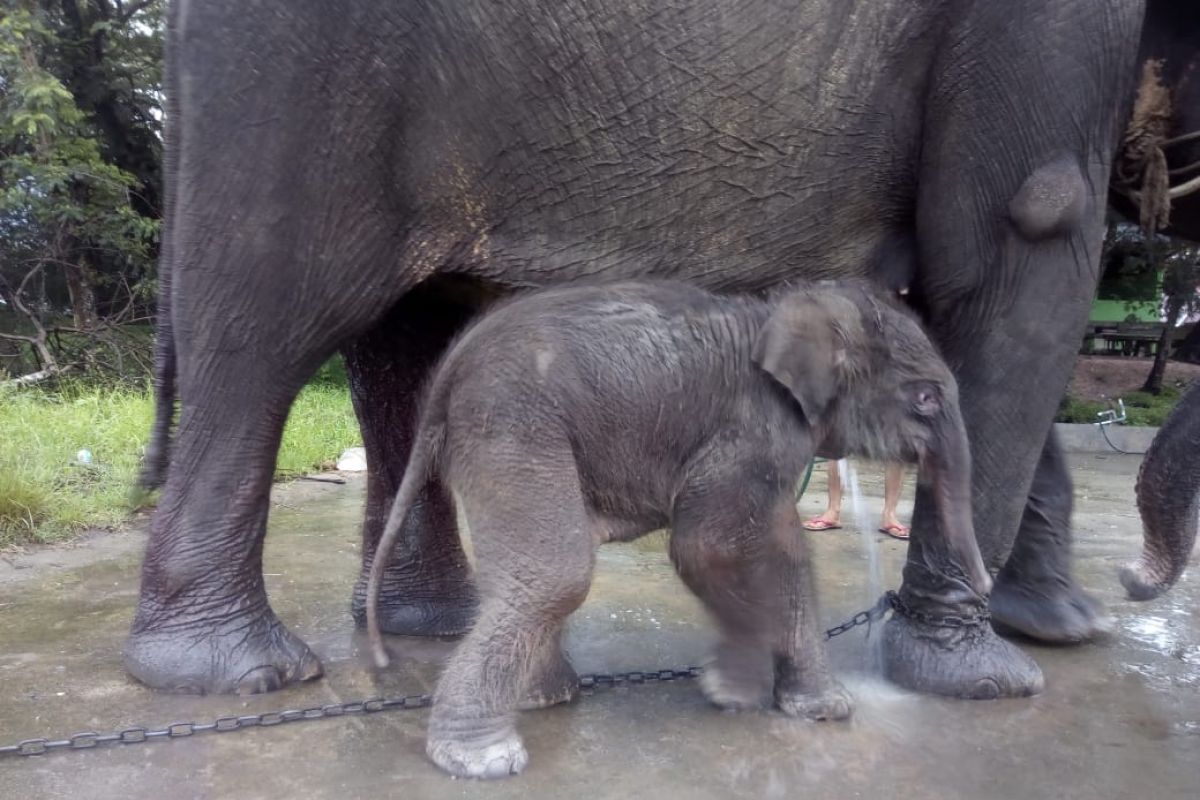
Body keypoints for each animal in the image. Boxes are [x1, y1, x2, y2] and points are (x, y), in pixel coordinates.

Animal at [129, 0, 1200, 695]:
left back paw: (422, 630)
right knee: (265, 331)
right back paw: (240, 674)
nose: (1135, 585)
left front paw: (1057, 630)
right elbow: (1027, 253)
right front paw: (985, 680)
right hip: (300, 84)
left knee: (405, 345)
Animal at [364, 278, 984, 777]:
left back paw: (545, 699)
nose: (985, 584)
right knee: (555, 574)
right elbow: (705, 548)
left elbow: (785, 556)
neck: (787, 311)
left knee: (526, 574)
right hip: (512, 424)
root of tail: (450, 369)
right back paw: (484, 758)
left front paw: (824, 712)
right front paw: (732, 691)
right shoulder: (751, 431)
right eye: (925, 398)